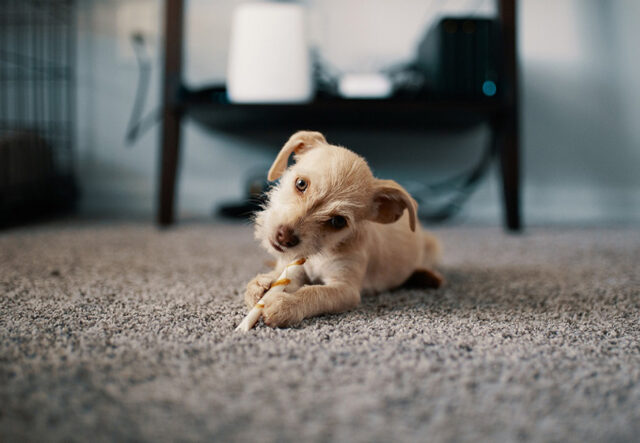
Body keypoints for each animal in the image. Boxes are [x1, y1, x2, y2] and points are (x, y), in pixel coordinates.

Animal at [248, 130, 442, 328]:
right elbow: (282, 277)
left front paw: (285, 304)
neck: (321, 253)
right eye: (301, 183)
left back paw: (426, 277)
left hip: (433, 246)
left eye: (338, 221)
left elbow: (314, 293)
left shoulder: (345, 289)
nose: (284, 237)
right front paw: (261, 284)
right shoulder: (295, 267)